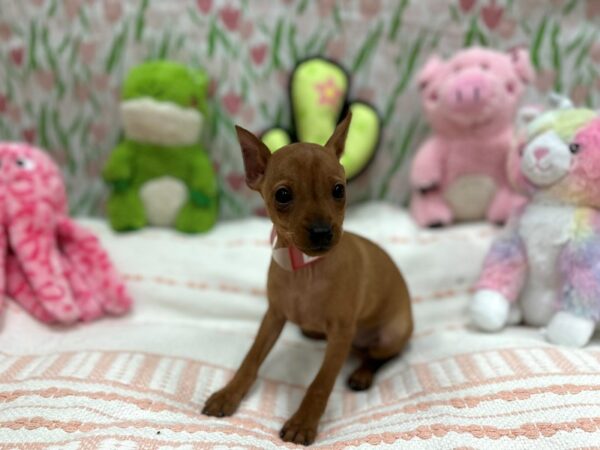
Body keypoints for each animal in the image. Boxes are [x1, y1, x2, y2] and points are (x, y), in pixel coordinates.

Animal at [202, 114, 412, 444]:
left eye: (339, 190)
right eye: (283, 195)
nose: (323, 232)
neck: (305, 268)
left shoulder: (341, 333)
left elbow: (320, 383)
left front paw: (303, 421)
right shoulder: (274, 316)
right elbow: (250, 359)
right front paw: (229, 394)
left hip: (391, 333)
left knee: (379, 356)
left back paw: (362, 373)